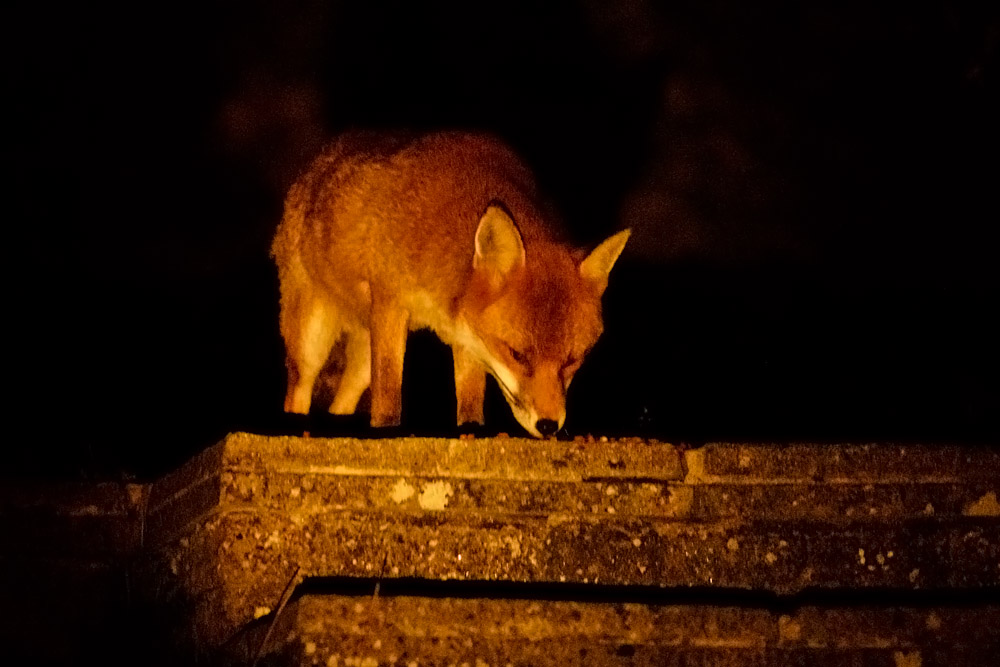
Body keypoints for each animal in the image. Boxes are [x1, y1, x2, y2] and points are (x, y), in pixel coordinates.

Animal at [271, 131, 629, 438]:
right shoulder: (391, 300)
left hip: (360, 361)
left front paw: (472, 431)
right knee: (299, 390)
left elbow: (469, 401)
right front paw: (388, 430)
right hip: (311, 341)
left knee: (342, 401)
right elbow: (389, 395)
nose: (549, 426)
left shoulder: (469, 337)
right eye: (517, 354)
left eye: (572, 360)